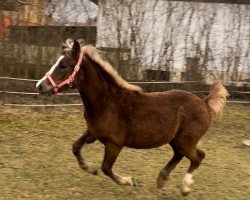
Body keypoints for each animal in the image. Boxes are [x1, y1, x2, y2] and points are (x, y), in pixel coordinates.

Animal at [35, 38, 229, 195]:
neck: (106, 103)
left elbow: (106, 168)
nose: (40, 86)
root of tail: (204, 103)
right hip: (175, 141)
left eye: (63, 65)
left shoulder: (114, 143)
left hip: (185, 141)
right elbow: (76, 147)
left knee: (198, 156)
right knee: (180, 155)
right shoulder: (93, 133)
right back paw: (162, 179)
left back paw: (185, 187)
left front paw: (128, 181)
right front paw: (89, 168)